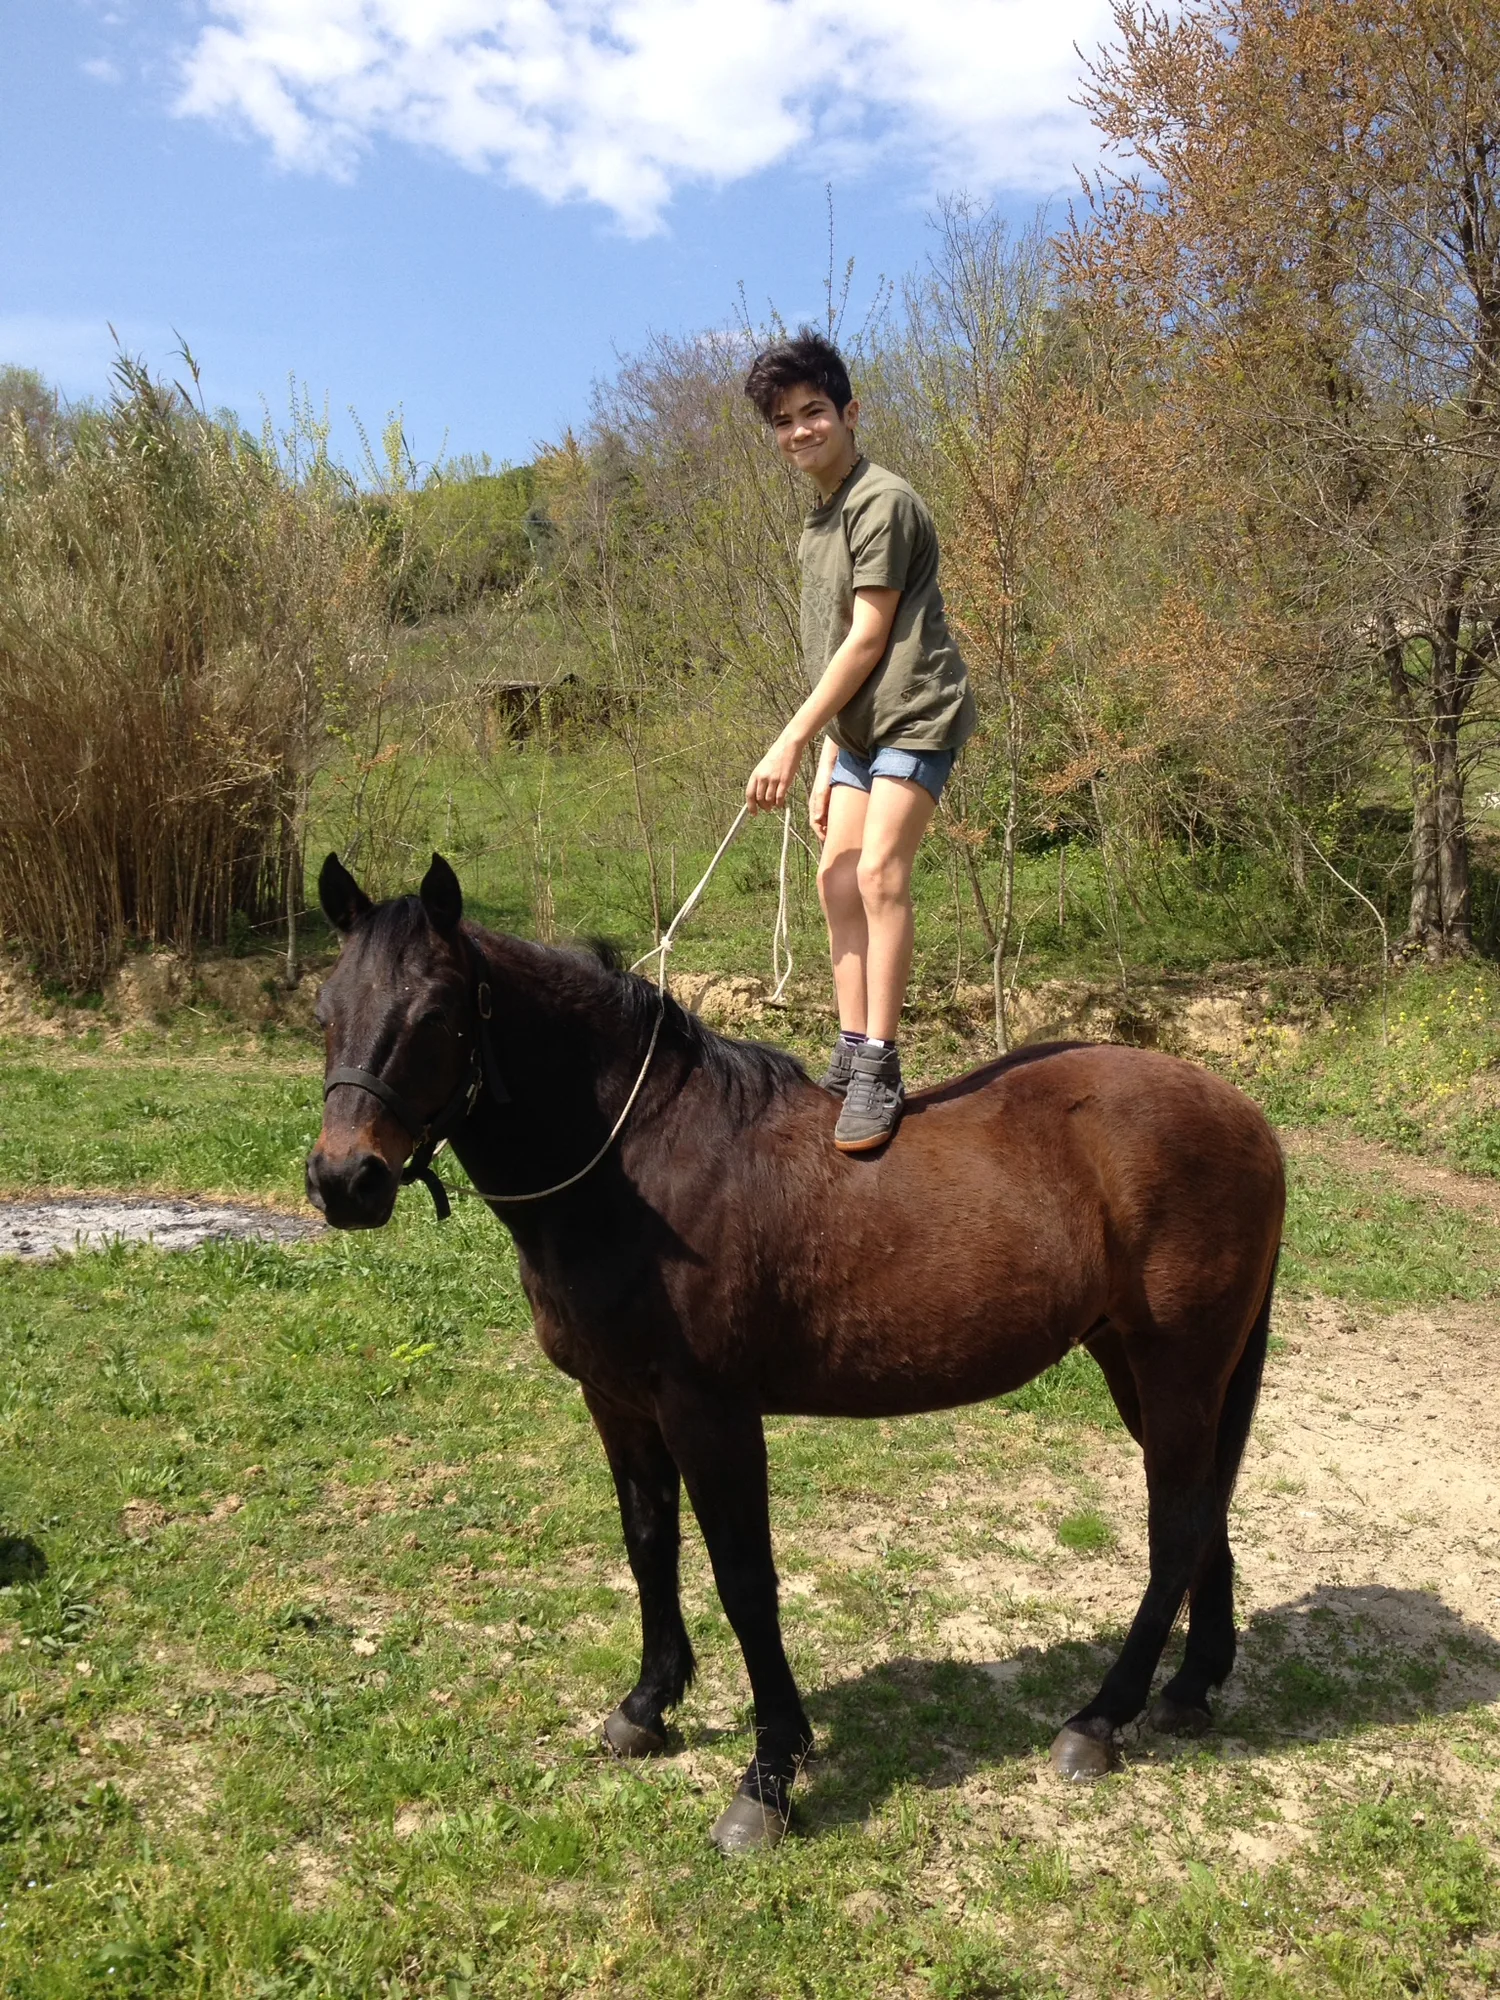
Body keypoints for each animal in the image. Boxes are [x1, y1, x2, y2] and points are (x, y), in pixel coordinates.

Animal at [306, 853, 1285, 1854]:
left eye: (436, 1012)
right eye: (324, 1008)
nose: (345, 1181)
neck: (640, 1162)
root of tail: (1245, 1116)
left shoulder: (711, 1412)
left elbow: (745, 1579)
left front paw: (769, 1774)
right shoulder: (617, 1402)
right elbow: (648, 1543)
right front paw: (647, 1706)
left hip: (1176, 1365)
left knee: (1176, 1525)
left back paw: (1100, 1718)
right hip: (1143, 1366)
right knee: (1205, 1510)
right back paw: (1190, 1687)